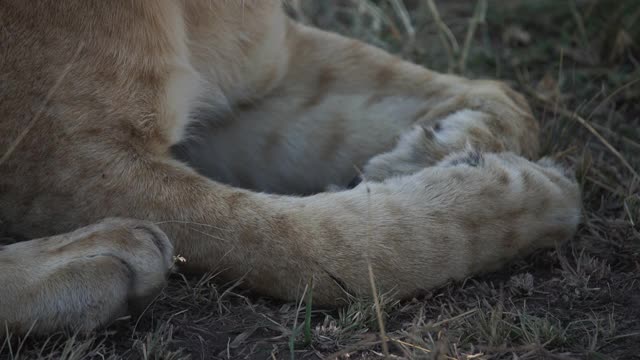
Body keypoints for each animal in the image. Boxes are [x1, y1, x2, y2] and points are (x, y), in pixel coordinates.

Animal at [0, 0, 580, 334]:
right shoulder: (62, 164)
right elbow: (321, 245)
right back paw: (99, 259)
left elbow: (504, 95)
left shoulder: (267, 74)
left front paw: (430, 150)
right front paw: (529, 197)